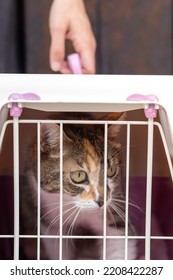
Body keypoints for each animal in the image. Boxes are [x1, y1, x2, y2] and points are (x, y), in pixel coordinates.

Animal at [19, 111, 137, 260]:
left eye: (110, 171)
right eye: (79, 175)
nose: (102, 201)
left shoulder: (115, 206)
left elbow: (118, 243)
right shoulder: (49, 217)